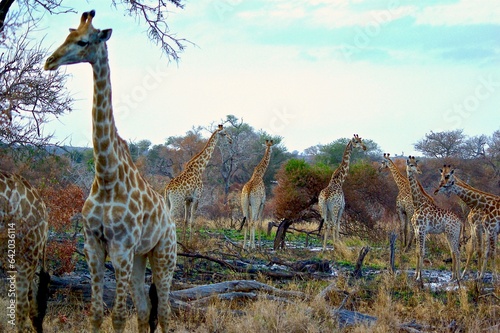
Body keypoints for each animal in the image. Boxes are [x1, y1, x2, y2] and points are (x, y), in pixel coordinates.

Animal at [45, 11, 177, 332]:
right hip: (141, 256)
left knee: (165, 312)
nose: (49, 61)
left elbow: (117, 317)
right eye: (66, 35)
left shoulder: (121, 248)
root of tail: (171, 219)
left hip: (164, 255)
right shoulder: (93, 246)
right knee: (144, 309)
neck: (105, 177)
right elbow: (95, 313)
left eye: (83, 41)